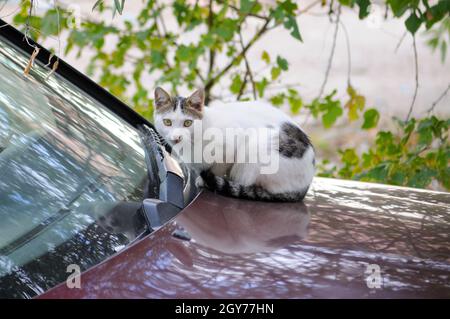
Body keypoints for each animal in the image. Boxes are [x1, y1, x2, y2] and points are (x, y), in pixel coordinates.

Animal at [153, 87, 314, 202]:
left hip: (257, 152)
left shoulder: (230, 147)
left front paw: (205, 181)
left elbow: (218, 168)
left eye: (187, 123)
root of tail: (304, 188)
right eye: (167, 122)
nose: (176, 137)